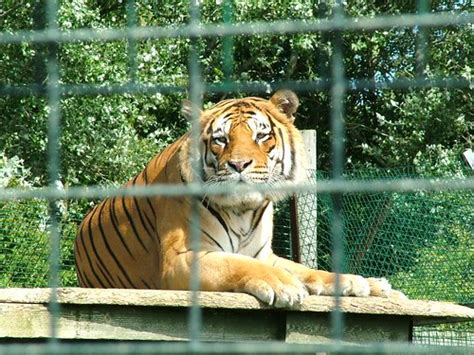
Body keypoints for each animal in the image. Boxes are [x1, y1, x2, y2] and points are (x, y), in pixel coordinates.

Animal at [74, 91, 404, 308]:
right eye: (221, 139)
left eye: (261, 136)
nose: (239, 164)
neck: (244, 211)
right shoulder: (181, 258)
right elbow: (236, 265)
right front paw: (285, 284)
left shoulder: (266, 254)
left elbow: (308, 271)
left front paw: (365, 284)